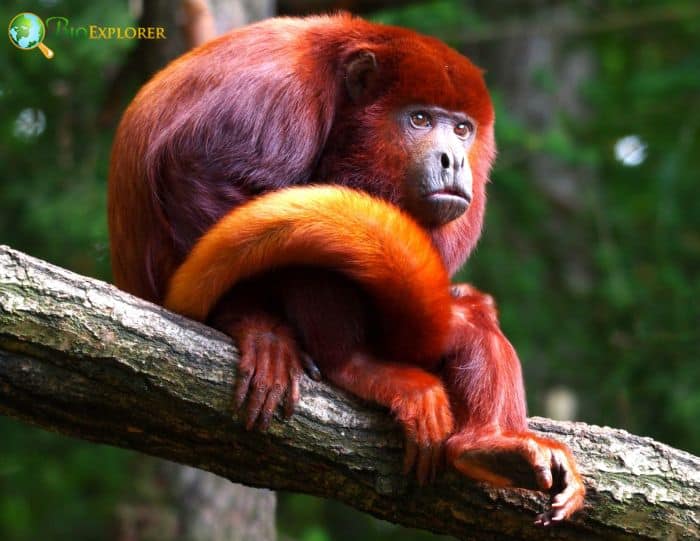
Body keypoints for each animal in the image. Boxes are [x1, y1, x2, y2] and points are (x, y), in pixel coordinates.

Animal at [108, 14, 585, 524]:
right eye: (419, 119)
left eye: (462, 129)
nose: (454, 159)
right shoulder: (281, 93)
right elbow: (200, 169)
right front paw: (257, 325)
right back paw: (353, 364)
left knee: (468, 319)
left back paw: (489, 445)